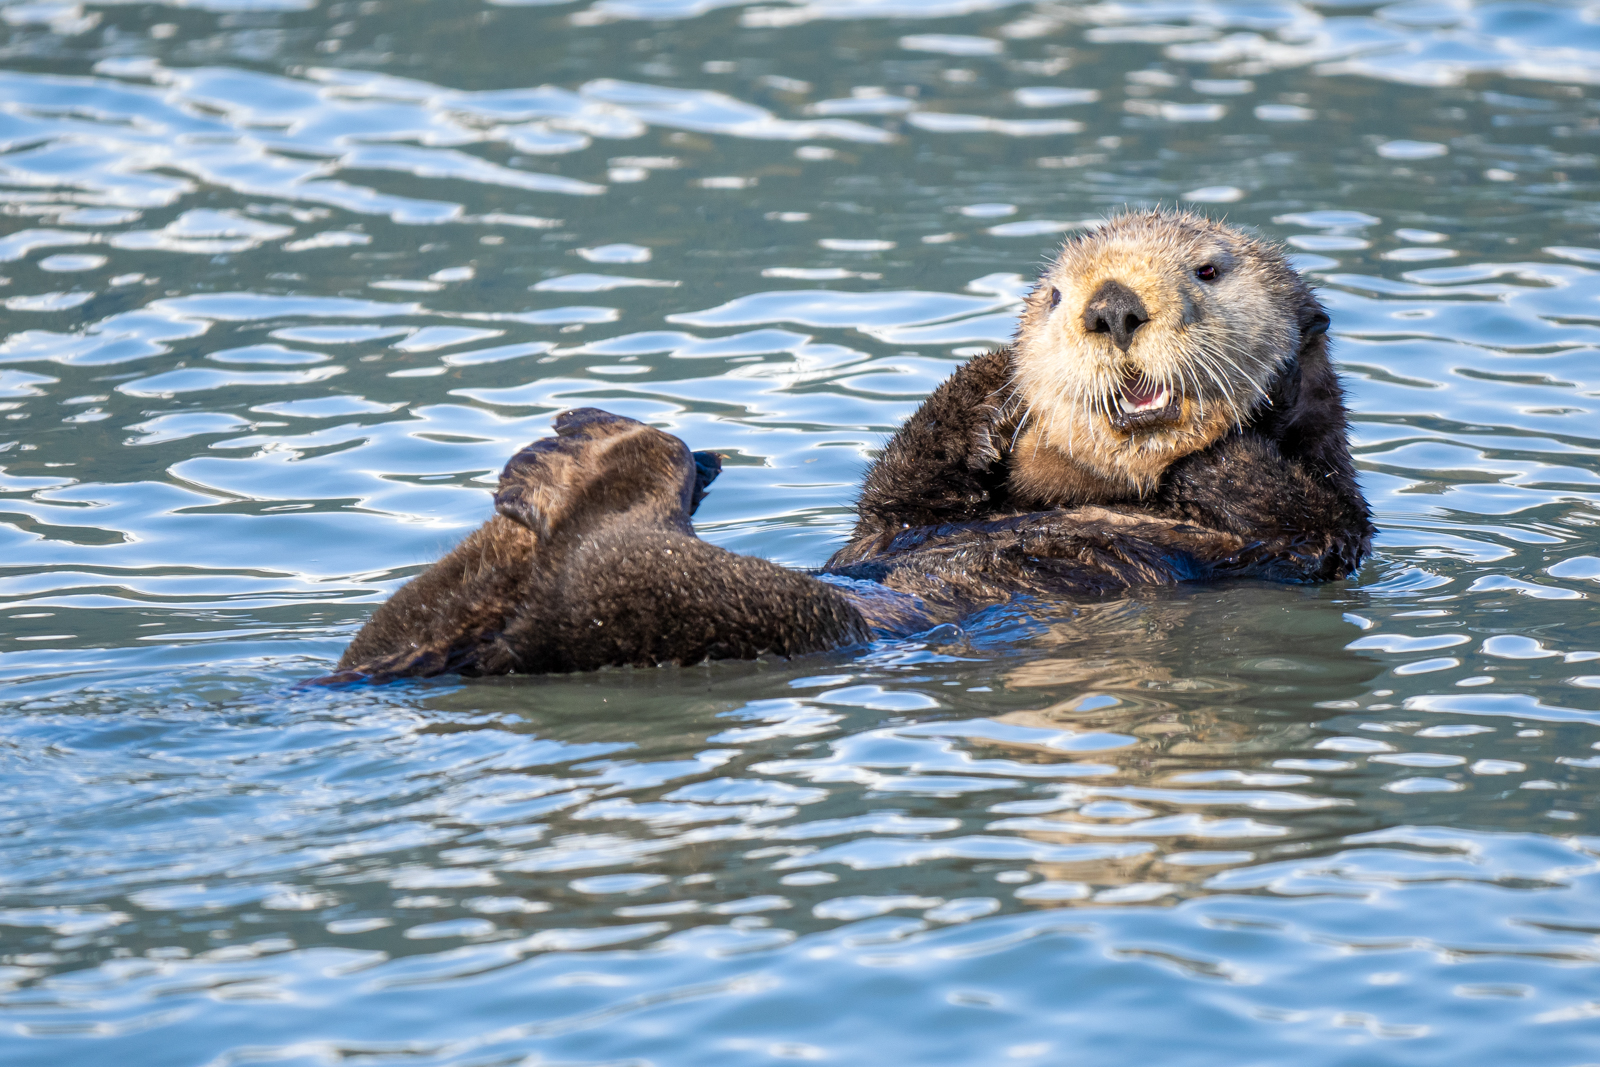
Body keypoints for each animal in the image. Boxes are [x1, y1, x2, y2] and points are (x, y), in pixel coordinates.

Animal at [330, 210, 1372, 681]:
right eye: (1056, 296)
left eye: (1209, 270)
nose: (1112, 306)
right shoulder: (896, 518)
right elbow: (898, 489)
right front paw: (992, 384)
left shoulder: (1316, 535)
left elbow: (1291, 496)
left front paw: (1238, 416)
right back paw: (565, 467)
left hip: (731, 618)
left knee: (611, 560)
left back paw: (610, 462)